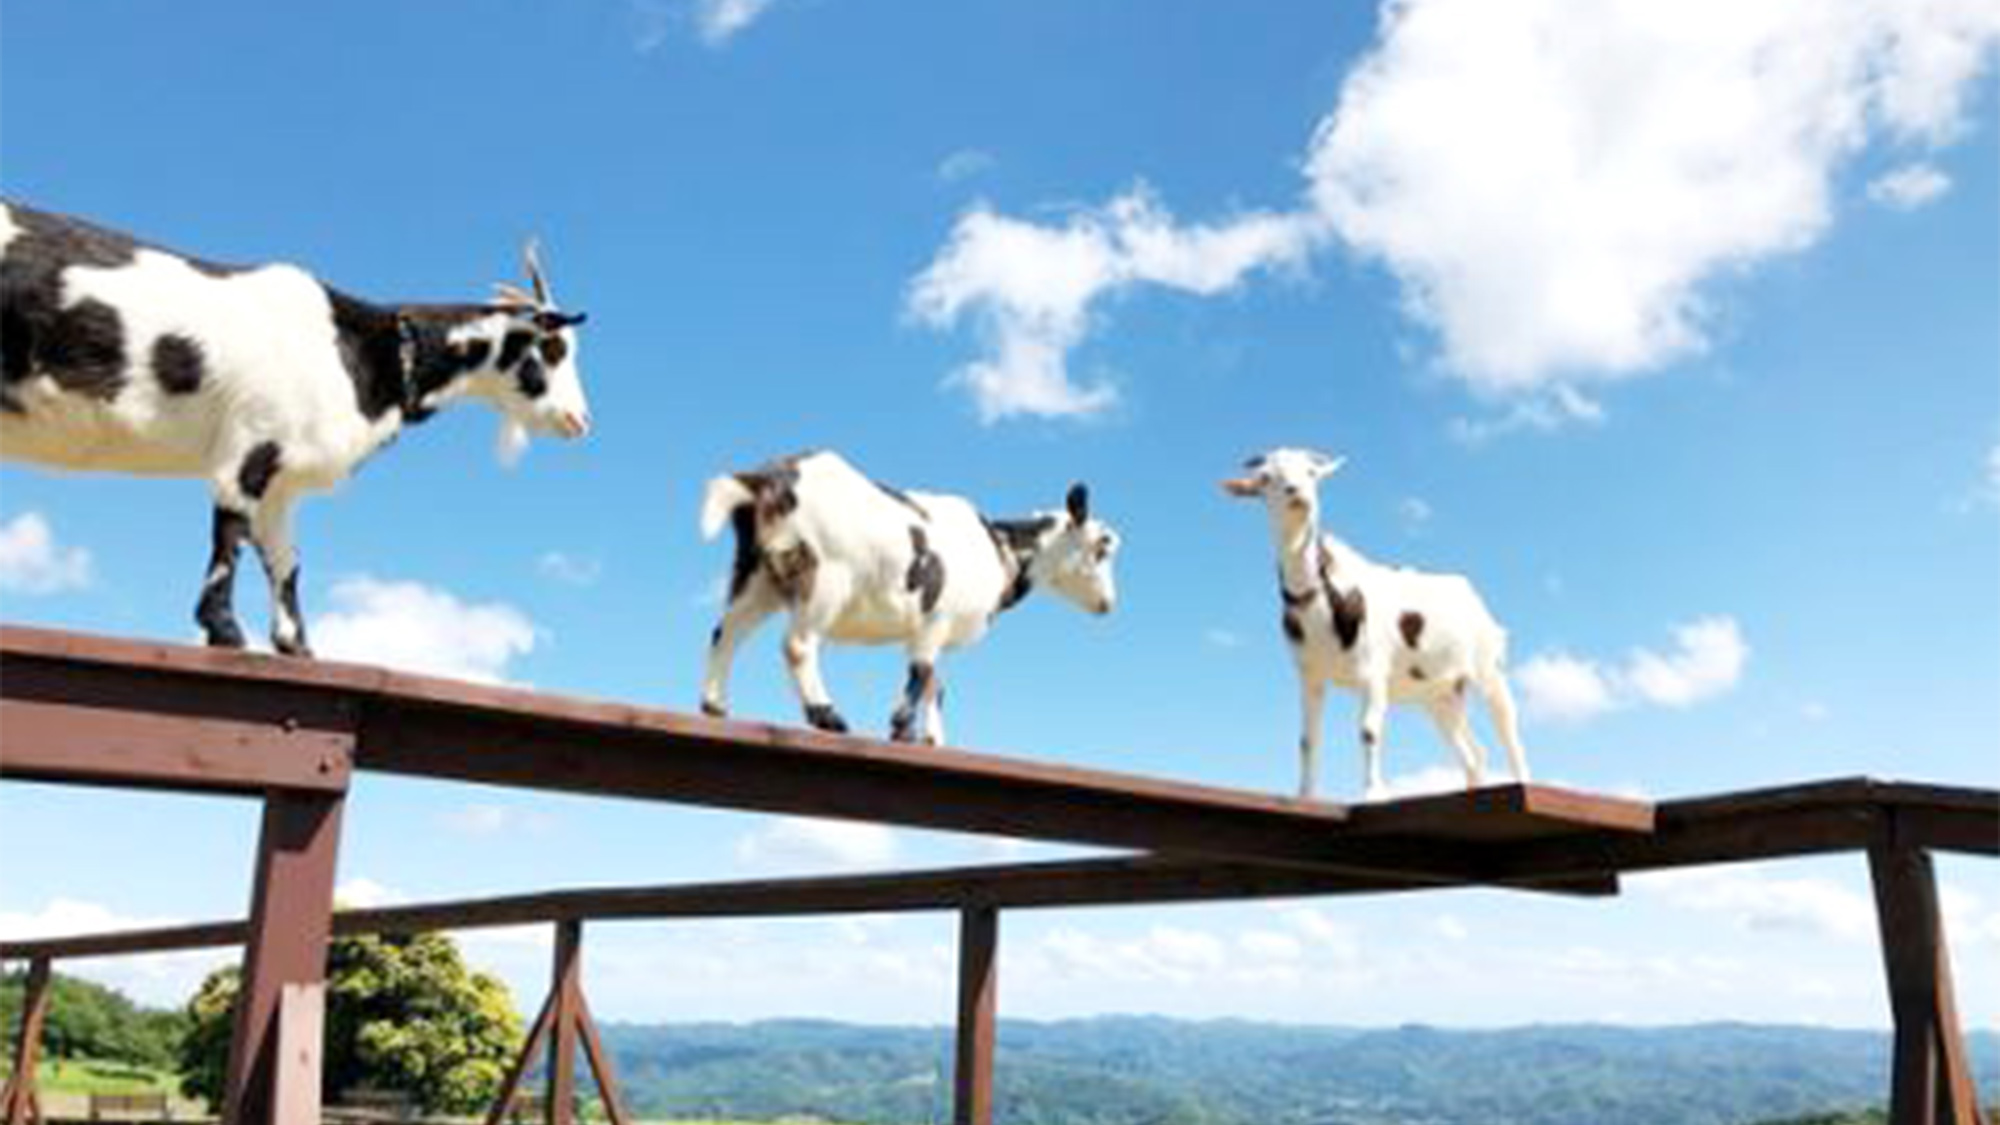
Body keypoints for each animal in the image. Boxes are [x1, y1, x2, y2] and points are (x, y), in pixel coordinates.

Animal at [0, 200, 588, 652]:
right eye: (554, 348)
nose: (579, 420)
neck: (358, 350)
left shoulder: (284, 477)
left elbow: (285, 560)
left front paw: (296, 646)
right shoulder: (250, 445)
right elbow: (230, 530)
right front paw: (224, 630)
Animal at [696, 446, 1120, 744]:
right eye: (1102, 546)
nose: (1108, 604)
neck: (1000, 549)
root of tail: (769, 477)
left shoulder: (933, 630)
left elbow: (935, 682)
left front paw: (930, 738)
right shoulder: (936, 620)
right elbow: (920, 672)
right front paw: (901, 728)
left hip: (759, 576)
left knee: (725, 632)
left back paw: (715, 706)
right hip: (825, 578)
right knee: (798, 644)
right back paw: (827, 716)